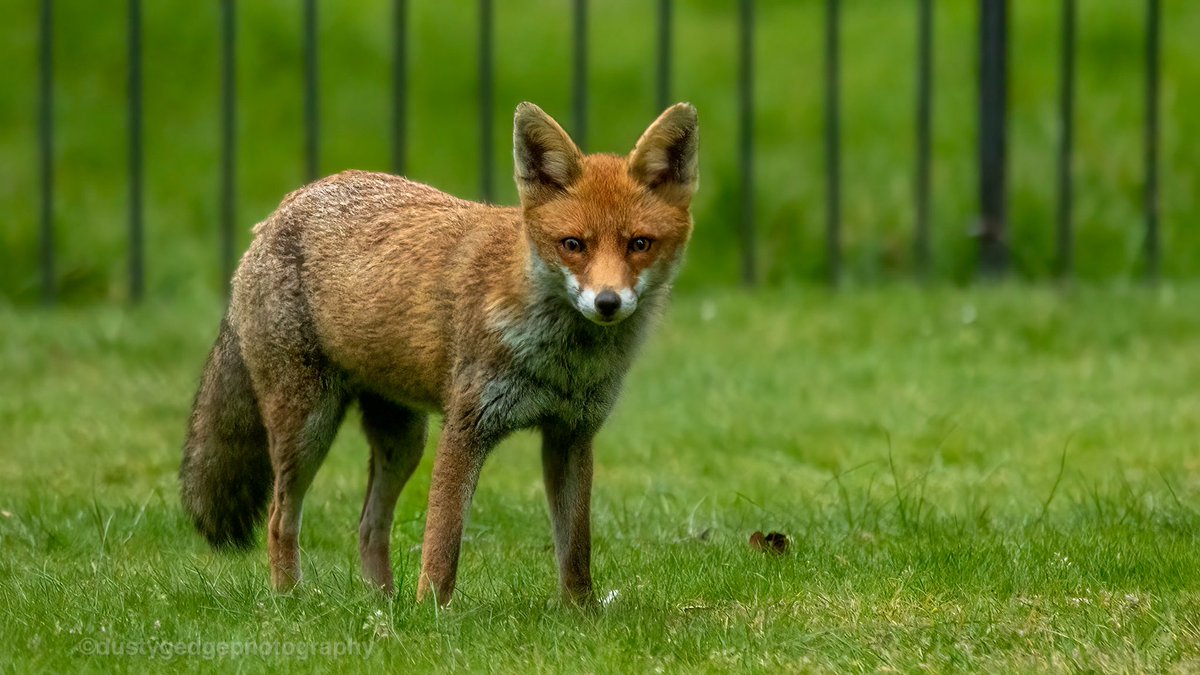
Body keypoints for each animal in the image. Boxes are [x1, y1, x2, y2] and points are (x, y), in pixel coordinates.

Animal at [179, 101, 698, 606]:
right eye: (573, 245)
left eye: (639, 244)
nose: (607, 302)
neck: (561, 362)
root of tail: (282, 209)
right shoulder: (466, 427)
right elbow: (442, 544)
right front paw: (432, 614)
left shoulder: (570, 435)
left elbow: (575, 550)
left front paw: (581, 615)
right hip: (309, 429)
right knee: (279, 519)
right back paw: (292, 601)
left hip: (404, 441)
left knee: (369, 526)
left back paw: (384, 607)